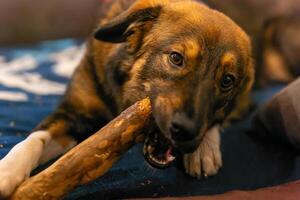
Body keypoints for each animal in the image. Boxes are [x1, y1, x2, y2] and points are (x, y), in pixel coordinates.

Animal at [0, 0, 254, 197]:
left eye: (227, 81)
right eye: (176, 58)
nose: (187, 131)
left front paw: (204, 149)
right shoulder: (72, 114)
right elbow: (33, 140)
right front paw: (7, 171)